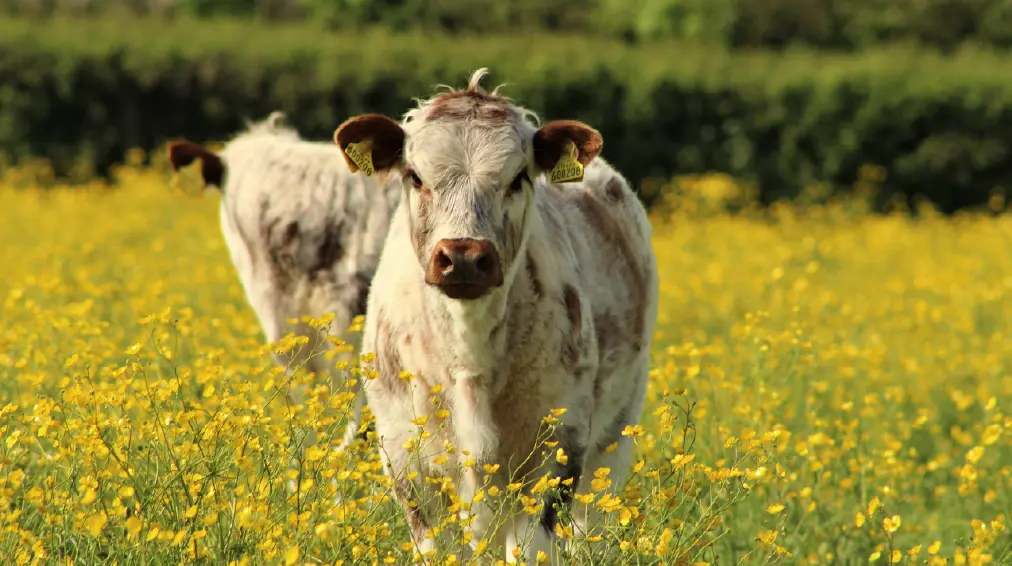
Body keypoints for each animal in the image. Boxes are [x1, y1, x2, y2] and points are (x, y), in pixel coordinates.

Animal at [332, 70, 659, 564]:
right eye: (415, 176)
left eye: (518, 177)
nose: (464, 257)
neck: (470, 357)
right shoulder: (405, 458)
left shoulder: (558, 449)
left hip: (614, 437)